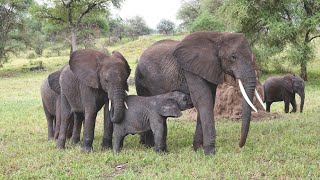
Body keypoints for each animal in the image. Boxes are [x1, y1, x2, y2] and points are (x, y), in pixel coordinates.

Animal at [134, 31, 264, 155]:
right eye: (233, 57)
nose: (239, 145)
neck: (218, 36)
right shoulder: (190, 70)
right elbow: (204, 100)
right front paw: (209, 153)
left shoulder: (210, 68)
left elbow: (209, 101)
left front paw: (197, 149)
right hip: (141, 79)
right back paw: (148, 146)